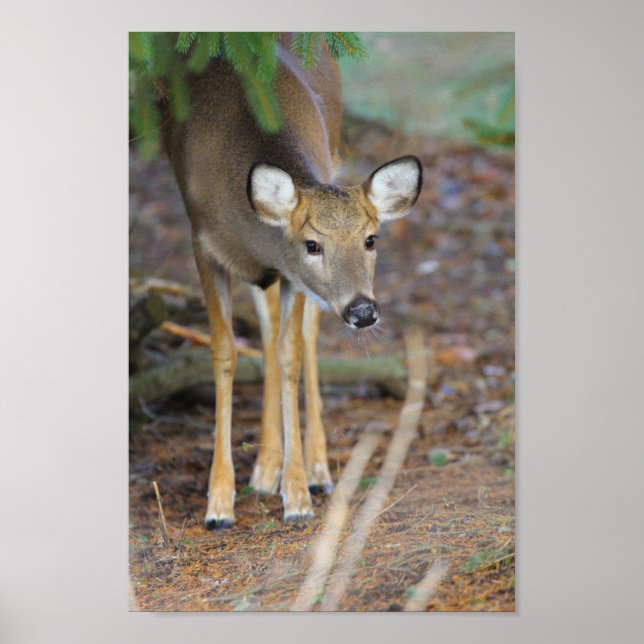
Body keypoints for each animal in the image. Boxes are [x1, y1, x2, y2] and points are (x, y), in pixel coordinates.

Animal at [163, 41, 422, 529]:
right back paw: (264, 470)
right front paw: (219, 503)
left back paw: (316, 469)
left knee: (303, 337)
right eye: (312, 244)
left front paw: (298, 495)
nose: (363, 311)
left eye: (371, 239)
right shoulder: (202, 243)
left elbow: (290, 355)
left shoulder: (291, 276)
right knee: (264, 333)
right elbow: (224, 353)